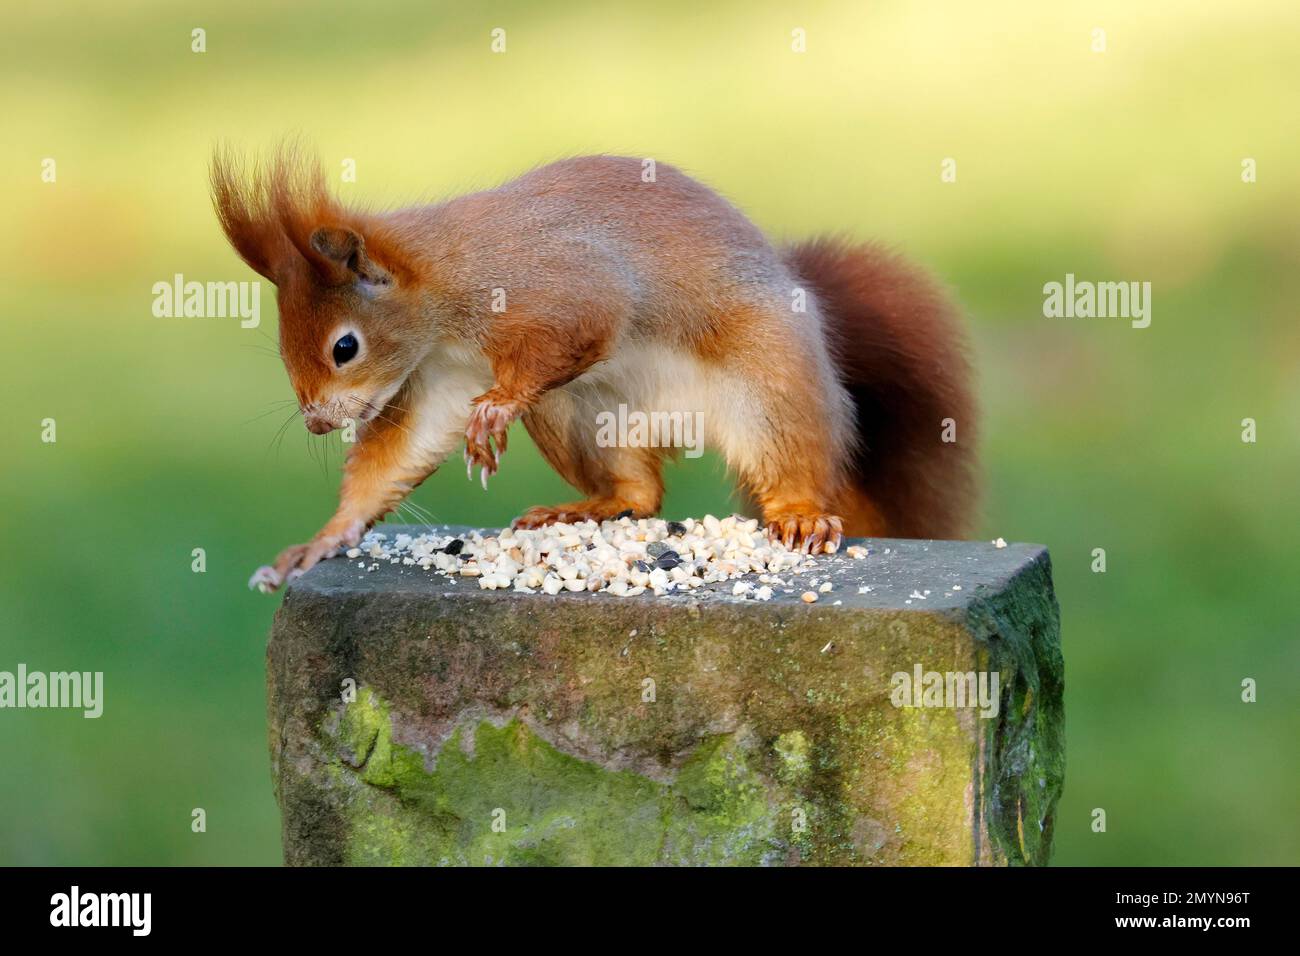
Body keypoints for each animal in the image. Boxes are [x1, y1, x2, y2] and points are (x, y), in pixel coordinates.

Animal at [208, 146, 972, 590]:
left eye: (345, 347)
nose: (315, 423)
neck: (444, 301)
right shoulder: (435, 381)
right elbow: (393, 457)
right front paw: (324, 539)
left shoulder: (556, 285)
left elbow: (583, 323)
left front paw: (497, 408)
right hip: (583, 421)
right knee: (640, 492)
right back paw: (584, 508)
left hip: (773, 385)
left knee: (794, 460)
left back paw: (801, 514)